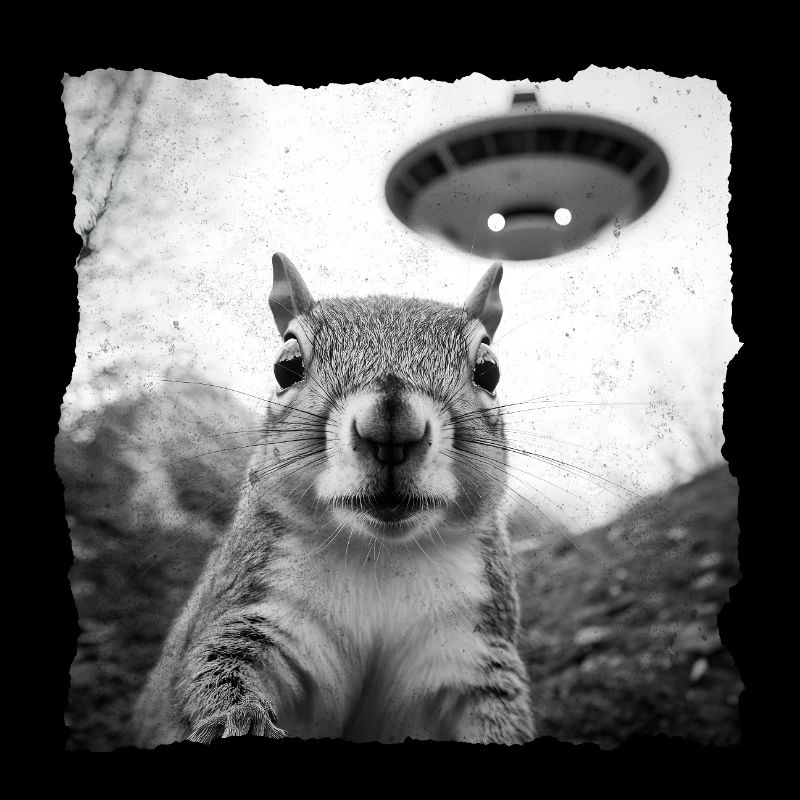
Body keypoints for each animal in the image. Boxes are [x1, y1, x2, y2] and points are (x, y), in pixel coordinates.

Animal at [132, 252, 535, 746]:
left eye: (488, 370)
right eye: (286, 366)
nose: (391, 427)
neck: (382, 555)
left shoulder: (470, 651)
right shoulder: (260, 609)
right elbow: (217, 668)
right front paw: (239, 721)